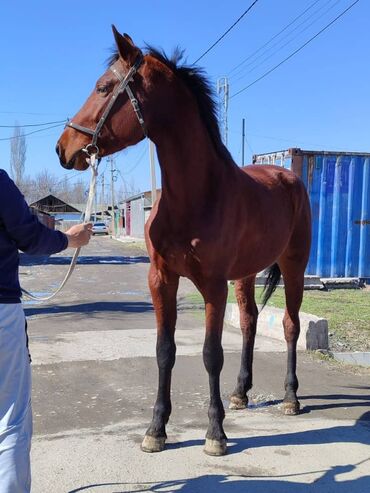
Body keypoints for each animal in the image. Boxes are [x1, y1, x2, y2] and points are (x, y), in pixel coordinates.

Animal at [57, 26, 312, 458]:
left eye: (103, 86)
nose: (63, 148)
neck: (196, 196)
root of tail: (288, 175)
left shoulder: (212, 286)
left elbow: (211, 354)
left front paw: (215, 433)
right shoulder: (161, 279)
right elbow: (165, 351)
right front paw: (156, 429)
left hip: (294, 267)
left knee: (291, 325)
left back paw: (291, 397)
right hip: (245, 274)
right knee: (249, 321)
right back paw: (241, 393)